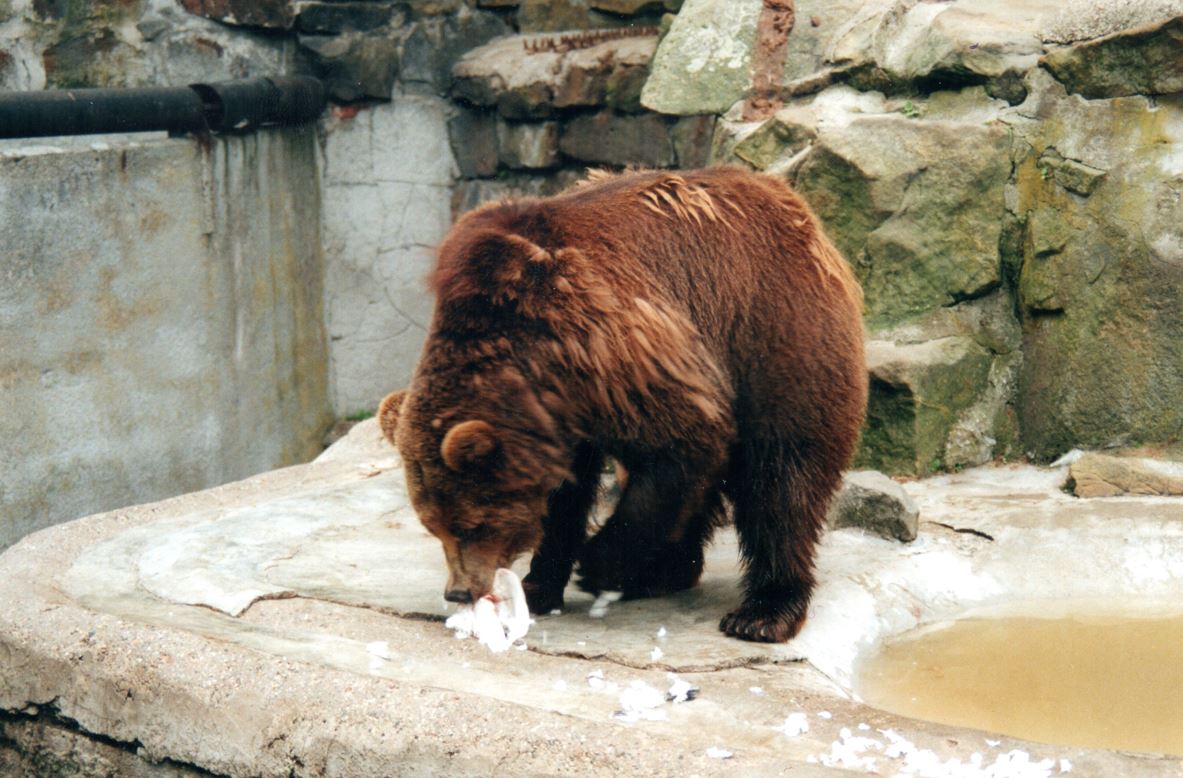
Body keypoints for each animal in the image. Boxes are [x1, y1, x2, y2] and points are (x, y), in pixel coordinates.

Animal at [385, 166, 861, 638]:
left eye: (470, 525)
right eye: (433, 526)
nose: (458, 591)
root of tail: (791, 202)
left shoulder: (615, 347)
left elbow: (684, 443)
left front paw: (596, 566)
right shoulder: (567, 411)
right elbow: (566, 495)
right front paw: (540, 585)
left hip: (774, 340)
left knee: (782, 479)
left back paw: (763, 611)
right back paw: (664, 573)